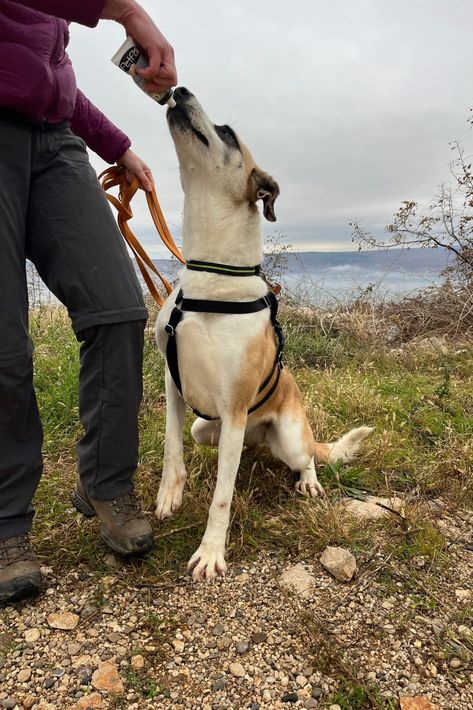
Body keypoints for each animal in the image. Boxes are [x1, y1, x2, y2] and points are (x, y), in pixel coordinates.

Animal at [154, 87, 372, 581]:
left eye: (228, 133)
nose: (179, 90)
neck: (211, 274)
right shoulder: (174, 384)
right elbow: (171, 447)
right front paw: (169, 494)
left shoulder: (234, 406)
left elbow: (221, 498)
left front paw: (211, 552)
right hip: (208, 428)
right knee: (223, 450)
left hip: (286, 436)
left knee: (306, 456)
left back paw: (309, 480)